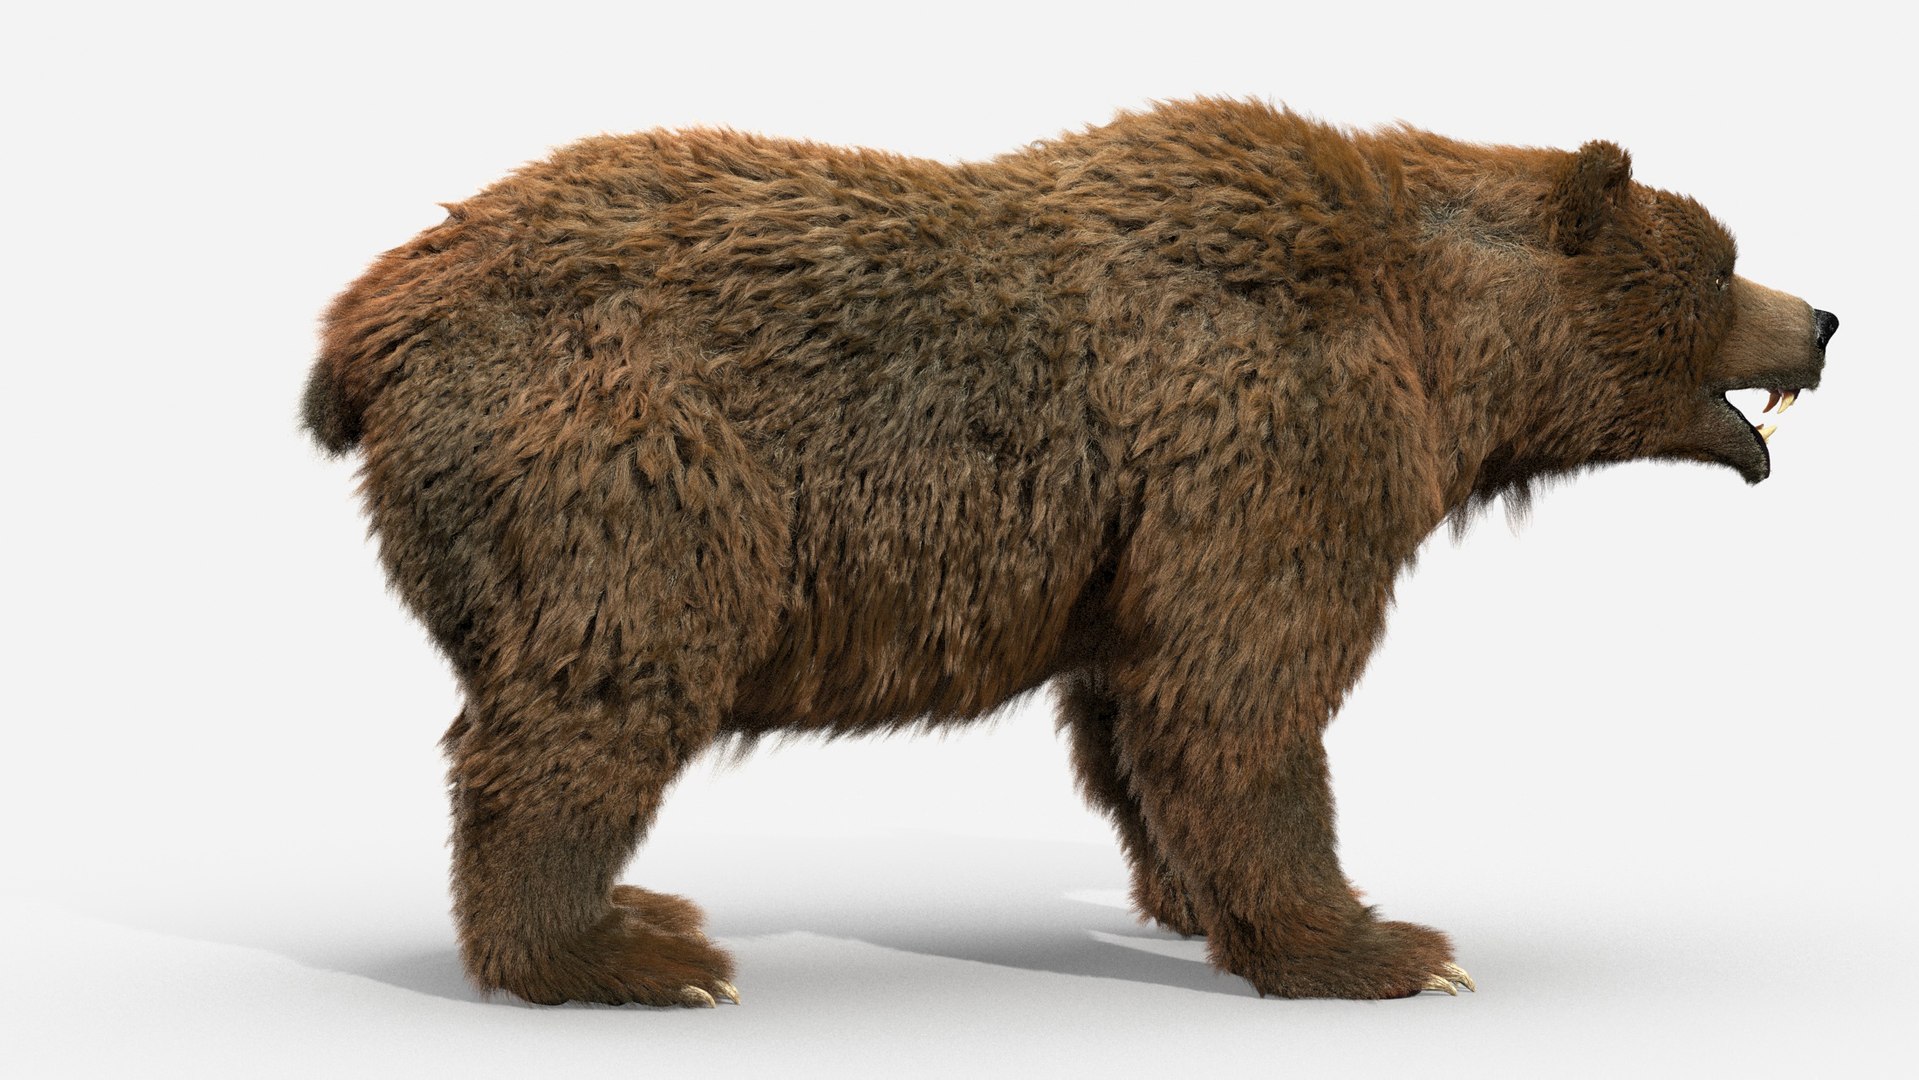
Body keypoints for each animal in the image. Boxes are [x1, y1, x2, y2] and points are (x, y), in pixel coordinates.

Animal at [301, 97, 1836, 1005]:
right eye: (1717, 260)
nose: (1820, 318)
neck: (1435, 343)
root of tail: (365, 322)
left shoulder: (1145, 523)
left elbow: (1136, 708)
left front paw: (1188, 899)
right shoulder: (1277, 428)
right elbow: (1240, 694)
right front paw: (1381, 946)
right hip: (627, 453)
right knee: (601, 679)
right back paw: (626, 950)